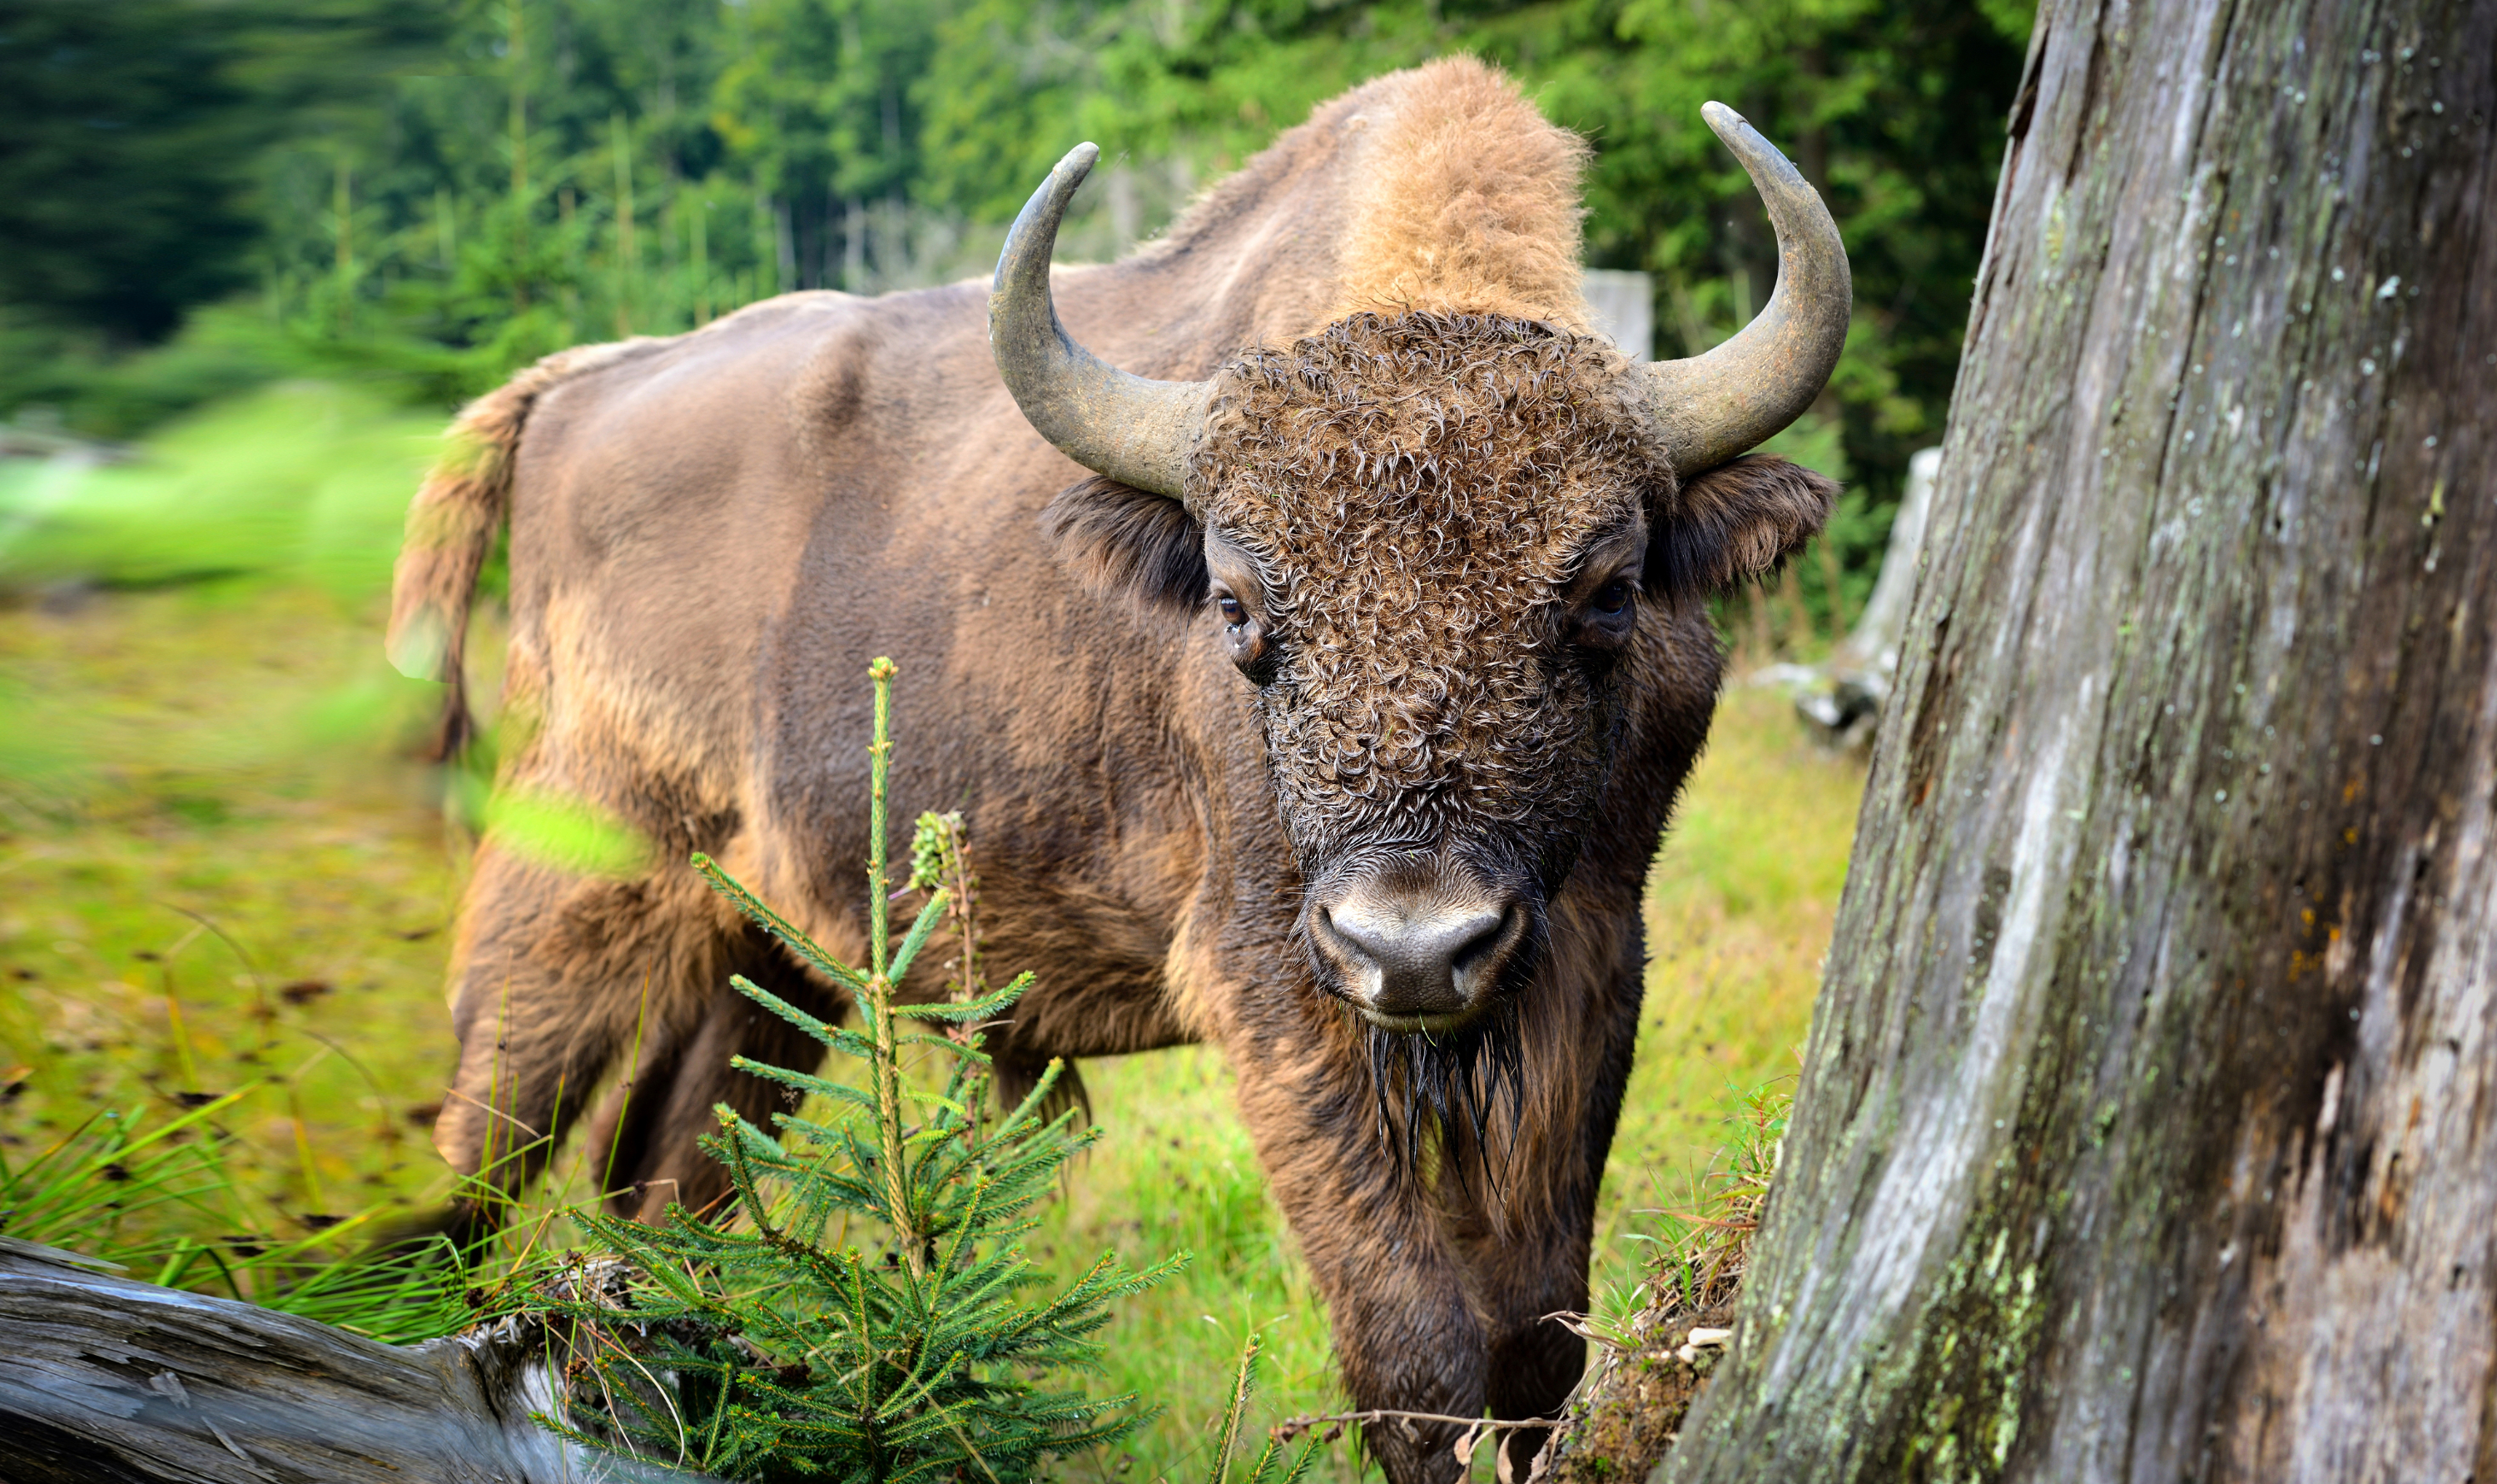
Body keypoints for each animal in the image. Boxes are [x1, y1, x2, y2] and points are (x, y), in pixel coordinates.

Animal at [385, 52, 1838, 1468]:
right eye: (1239, 606)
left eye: (1607, 592)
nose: (1415, 944)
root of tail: (582, 386)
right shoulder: (1274, 978)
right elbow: (1413, 1349)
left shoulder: (1588, 957)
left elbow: (1538, 1340)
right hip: (573, 884)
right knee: (482, 1150)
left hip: (768, 954)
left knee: (664, 1173)